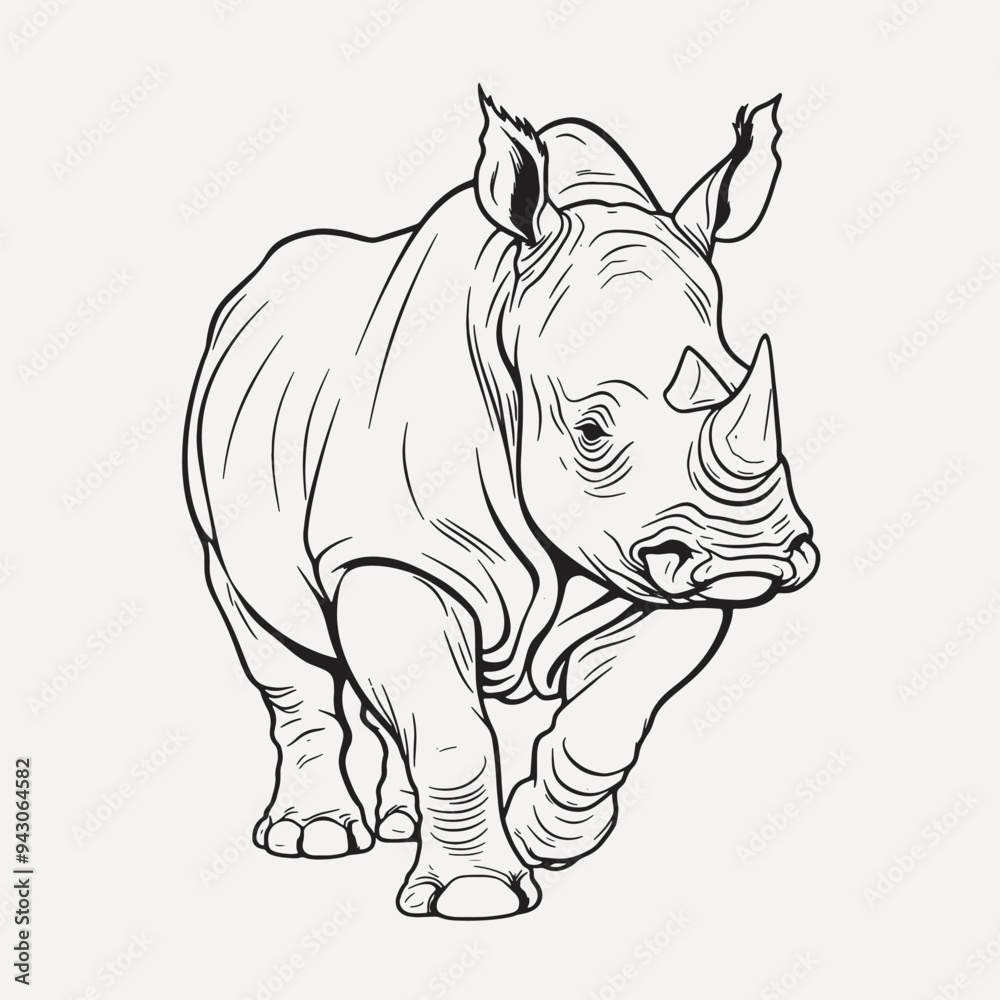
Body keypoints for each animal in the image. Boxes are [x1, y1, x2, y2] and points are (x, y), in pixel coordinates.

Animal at [183, 88, 818, 920]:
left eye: (745, 379)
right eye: (590, 429)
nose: (753, 558)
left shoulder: (659, 560)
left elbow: (613, 713)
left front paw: (543, 836)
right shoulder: (395, 553)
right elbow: (450, 730)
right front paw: (478, 897)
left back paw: (399, 825)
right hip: (220, 511)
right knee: (275, 640)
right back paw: (315, 839)